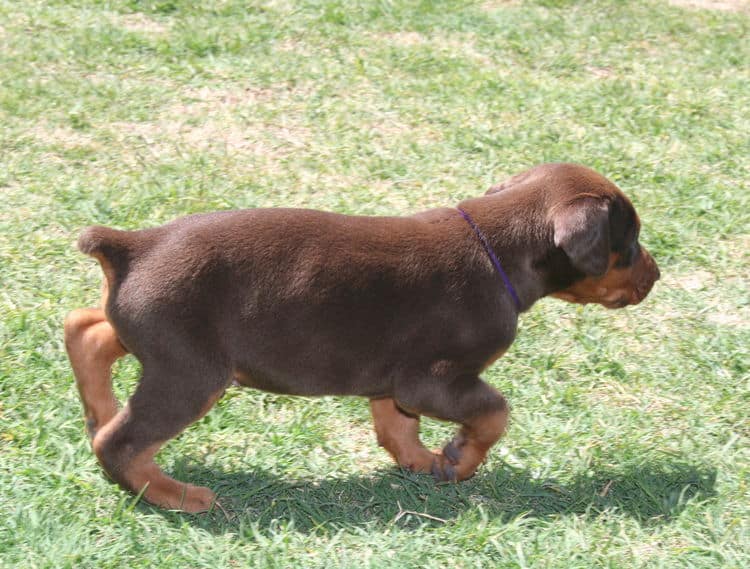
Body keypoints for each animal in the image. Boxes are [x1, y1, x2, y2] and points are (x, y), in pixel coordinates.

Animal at [66, 163, 664, 510]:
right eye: (630, 244)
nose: (657, 275)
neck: (496, 246)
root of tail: (133, 245)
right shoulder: (433, 378)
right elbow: (494, 412)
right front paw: (460, 459)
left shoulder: (392, 379)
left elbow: (396, 426)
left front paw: (423, 463)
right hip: (191, 371)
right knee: (119, 442)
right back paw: (178, 495)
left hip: (156, 339)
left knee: (86, 328)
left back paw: (100, 407)